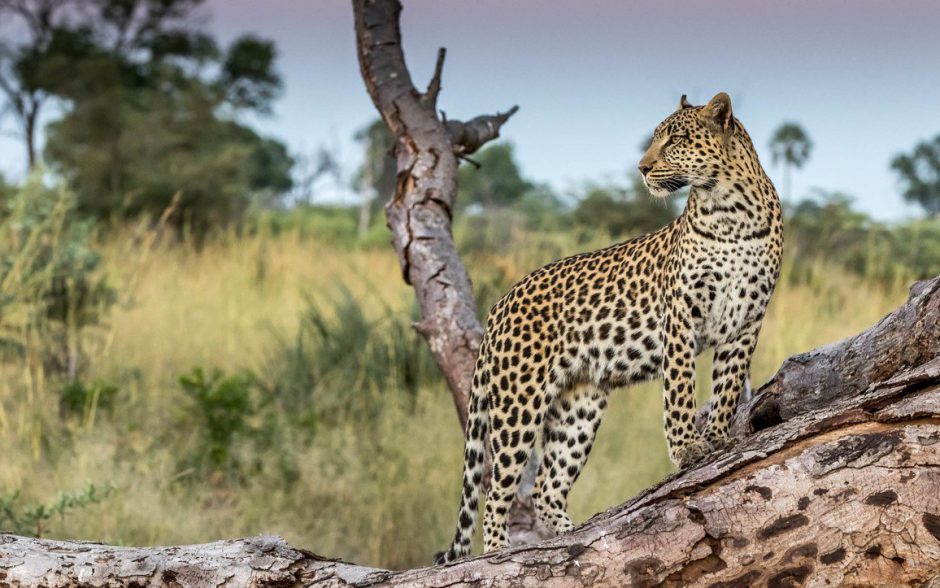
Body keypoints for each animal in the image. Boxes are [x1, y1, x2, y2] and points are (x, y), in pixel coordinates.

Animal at [436, 93, 784, 564]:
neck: (731, 211)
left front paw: (717, 437)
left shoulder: (747, 321)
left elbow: (728, 387)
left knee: (546, 487)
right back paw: (497, 555)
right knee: (495, 492)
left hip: (579, 406)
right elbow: (680, 388)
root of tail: (500, 304)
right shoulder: (681, 315)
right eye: (655, 138)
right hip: (519, 402)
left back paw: (578, 537)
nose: (642, 167)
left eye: (676, 139)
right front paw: (687, 448)